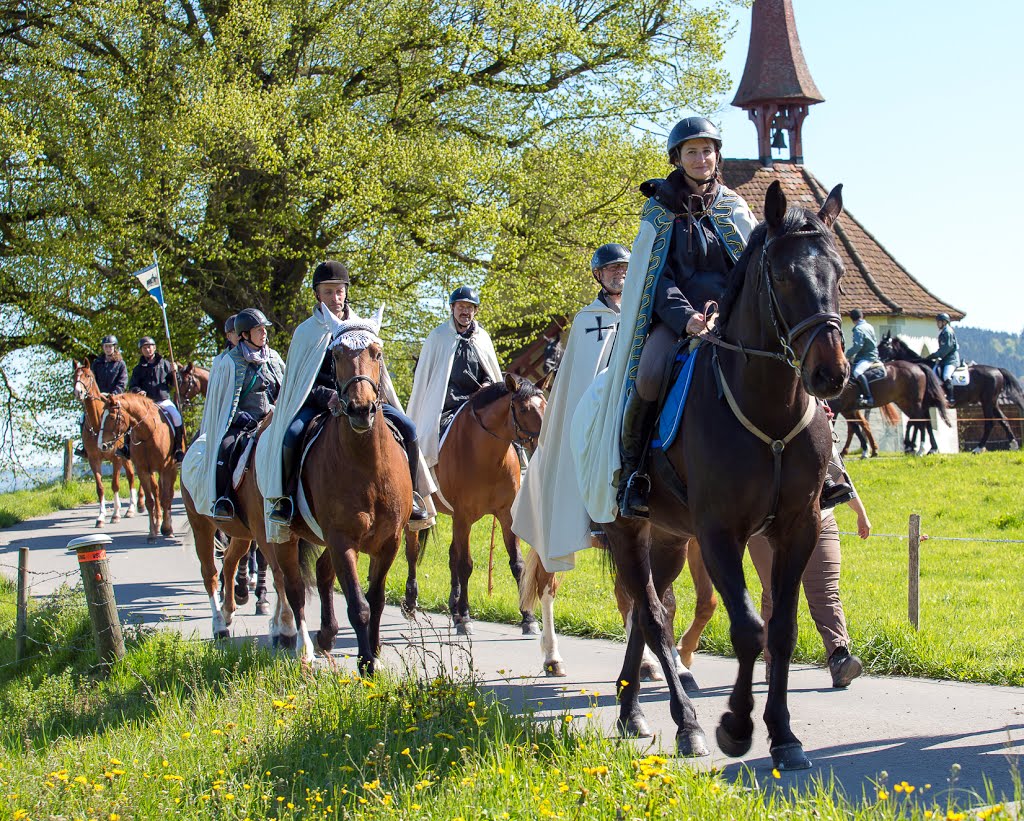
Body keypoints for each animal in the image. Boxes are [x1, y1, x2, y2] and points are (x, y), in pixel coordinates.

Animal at [72, 356, 142, 524]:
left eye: (87, 375)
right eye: (74, 376)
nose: (78, 392)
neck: (99, 423)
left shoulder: (116, 458)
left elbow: (115, 485)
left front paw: (115, 514)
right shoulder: (93, 459)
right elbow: (100, 487)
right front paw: (101, 517)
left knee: (131, 477)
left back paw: (132, 508)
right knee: (130, 475)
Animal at [97, 391, 178, 540]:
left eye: (111, 417)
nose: (101, 446)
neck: (147, 434)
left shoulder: (165, 469)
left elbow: (165, 499)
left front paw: (167, 529)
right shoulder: (143, 470)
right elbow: (150, 501)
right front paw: (152, 533)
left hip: (172, 469)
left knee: (168, 494)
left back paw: (166, 524)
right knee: (157, 491)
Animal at [401, 370, 548, 634]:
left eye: (544, 404)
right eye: (523, 409)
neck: (487, 457)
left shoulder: (506, 515)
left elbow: (517, 563)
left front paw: (528, 617)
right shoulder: (464, 516)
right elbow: (465, 564)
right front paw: (466, 617)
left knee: (451, 554)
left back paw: (453, 606)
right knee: (413, 552)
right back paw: (412, 603)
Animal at [602, 181, 851, 769]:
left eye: (838, 273)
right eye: (783, 276)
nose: (830, 373)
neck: (769, 411)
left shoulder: (798, 528)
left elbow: (780, 631)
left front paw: (784, 735)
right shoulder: (719, 534)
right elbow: (747, 630)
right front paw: (736, 727)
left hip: (669, 538)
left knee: (646, 615)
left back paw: (632, 711)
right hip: (629, 530)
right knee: (651, 616)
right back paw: (686, 723)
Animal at [876, 329, 1024, 450]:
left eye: (884, 346)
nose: (877, 362)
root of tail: (997, 370)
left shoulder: (923, 405)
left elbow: (920, 424)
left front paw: (916, 446)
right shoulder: (925, 406)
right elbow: (926, 425)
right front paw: (930, 448)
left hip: (987, 401)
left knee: (990, 423)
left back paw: (979, 448)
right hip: (993, 402)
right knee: (1003, 419)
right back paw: (1013, 444)